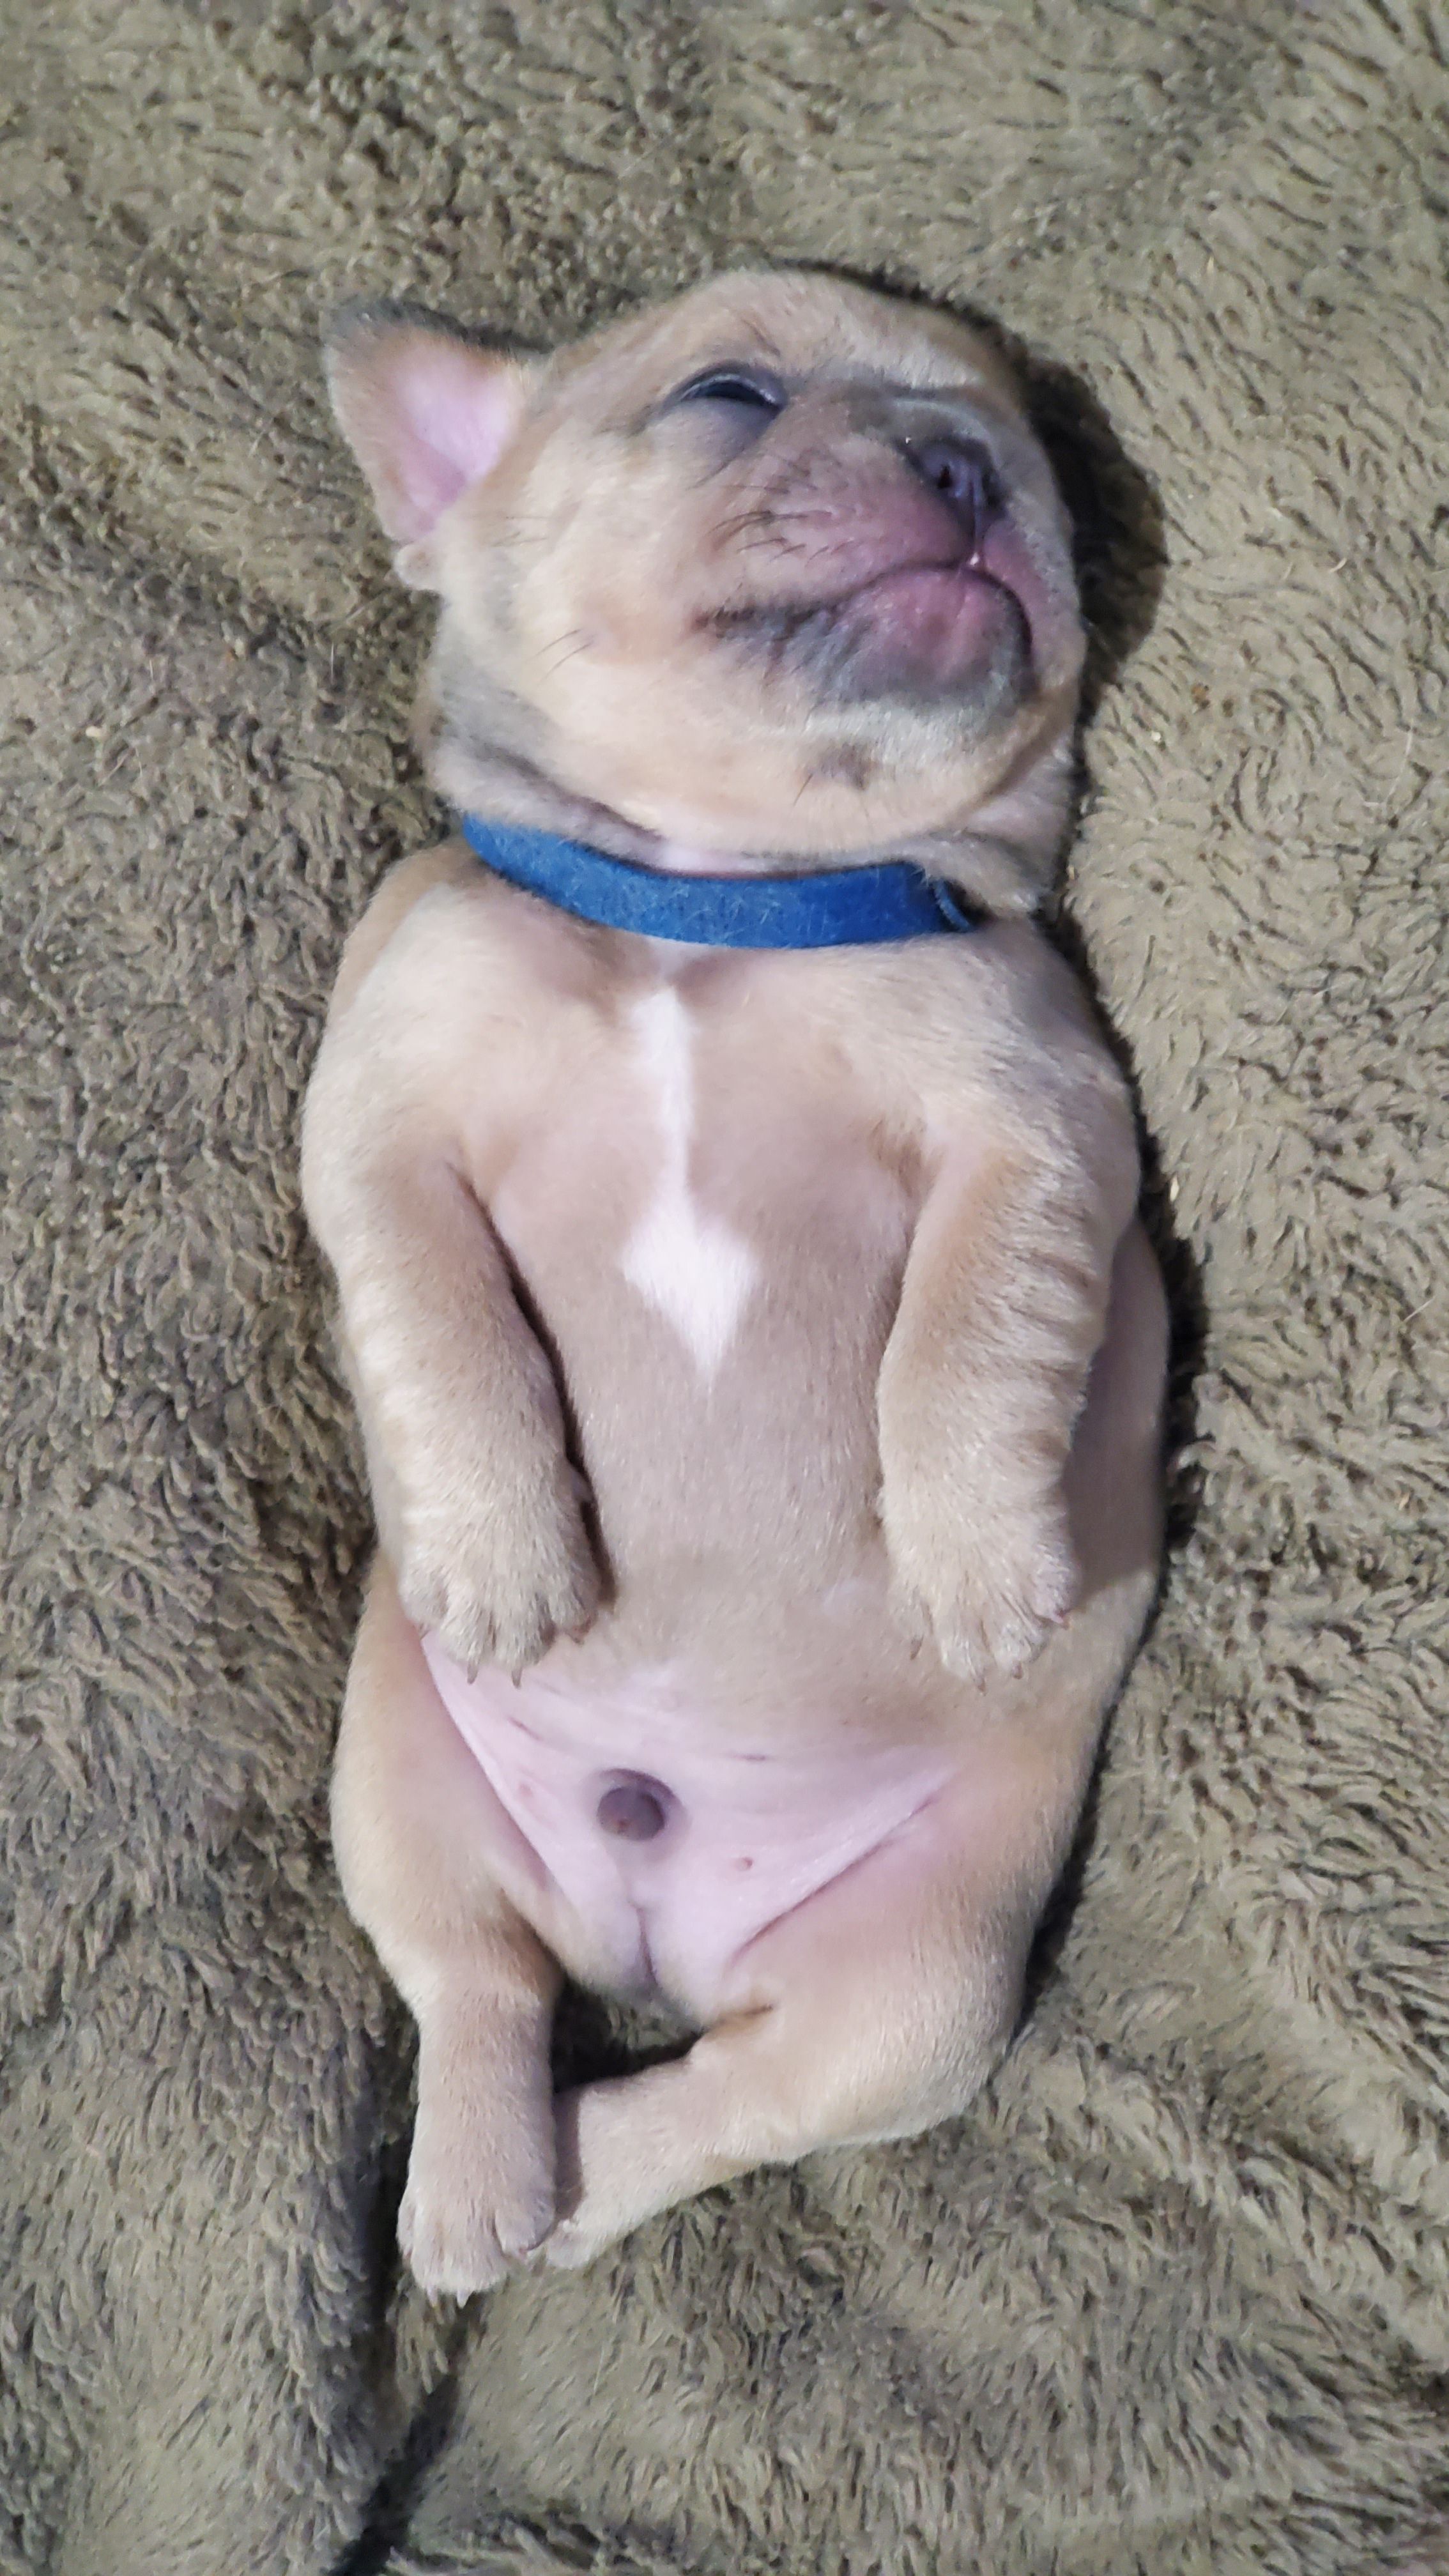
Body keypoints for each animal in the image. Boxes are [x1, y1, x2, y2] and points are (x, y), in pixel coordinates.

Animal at [301, 268, 1167, 2296]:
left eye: (1038, 458)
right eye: (728, 397)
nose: (968, 460)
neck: (713, 907)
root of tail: (653, 1911)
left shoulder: (1038, 1121)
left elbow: (971, 1330)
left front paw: (976, 1563)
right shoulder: (372, 1115)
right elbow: (435, 1314)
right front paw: (503, 1552)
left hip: (920, 1985)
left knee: (724, 2098)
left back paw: (566, 2193)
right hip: (392, 1783)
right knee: (474, 1983)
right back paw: (474, 2192)